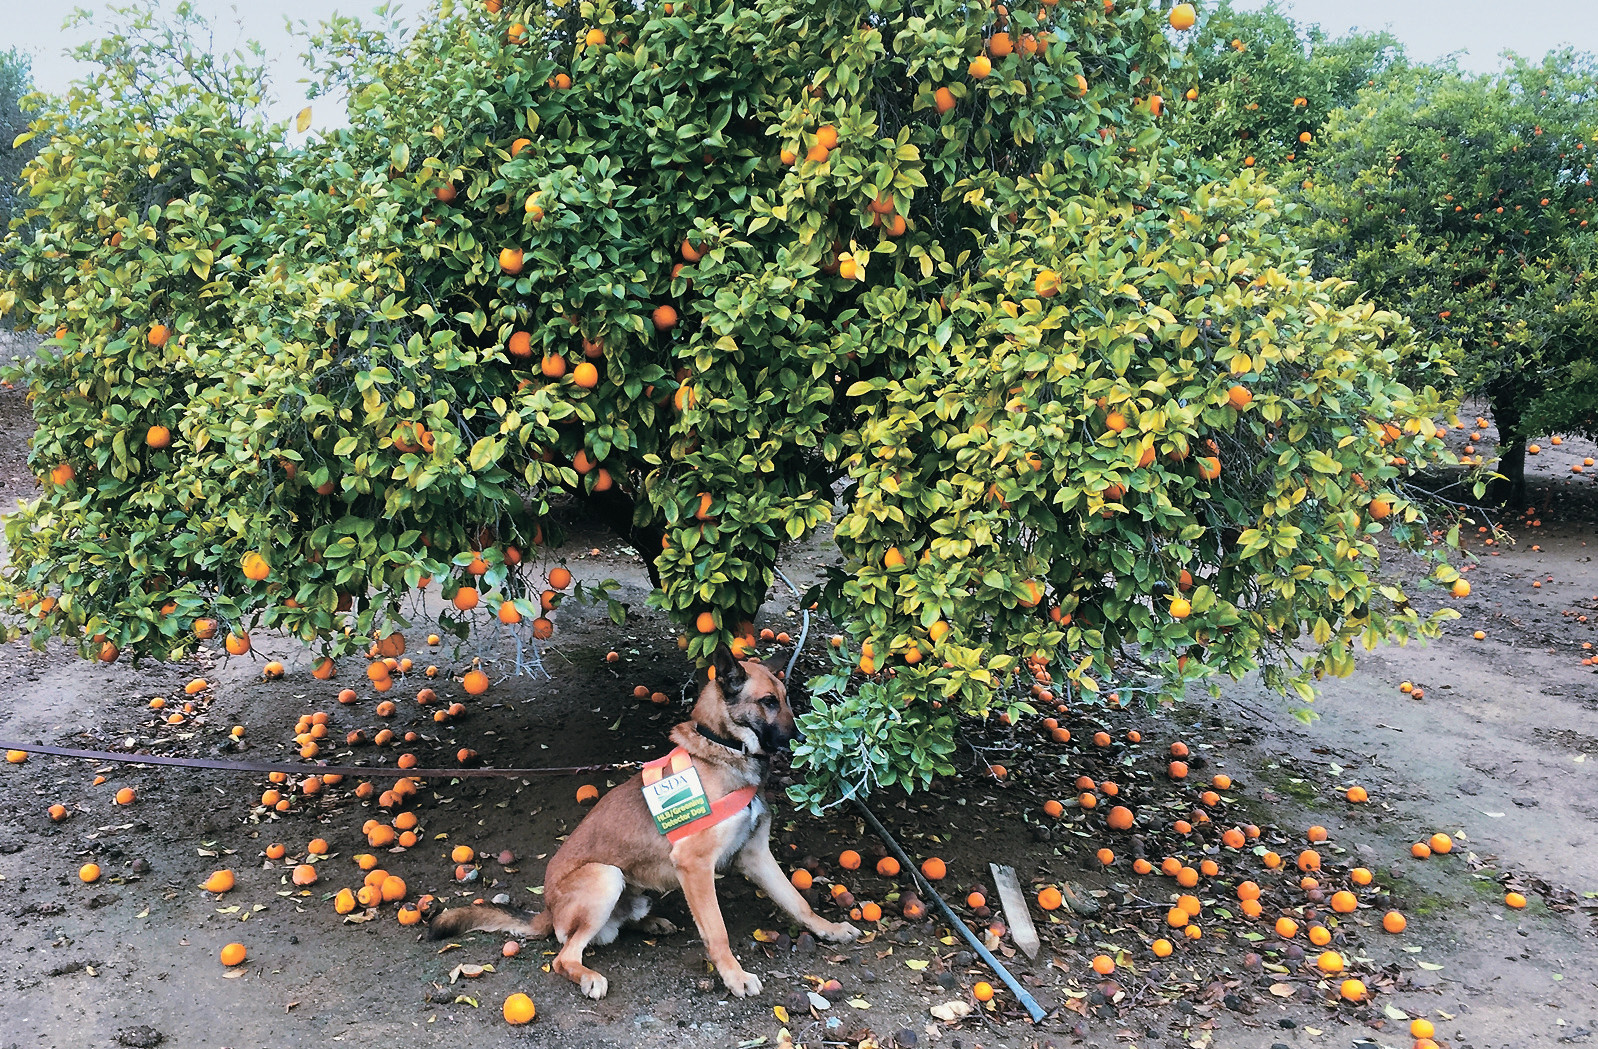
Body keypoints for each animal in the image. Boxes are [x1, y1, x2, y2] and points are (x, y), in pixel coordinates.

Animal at [428, 646, 860, 999]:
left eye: (786, 700)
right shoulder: (695, 866)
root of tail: (548, 911)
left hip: (630, 889)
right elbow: (717, 931)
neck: (722, 750)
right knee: (565, 955)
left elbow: (797, 901)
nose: (802, 738)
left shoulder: (756, 855)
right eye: (768, 702)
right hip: (605, 877)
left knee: (614, 927)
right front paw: (734, 977)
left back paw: (651, 924)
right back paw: (588, 976)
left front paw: (829, 929)